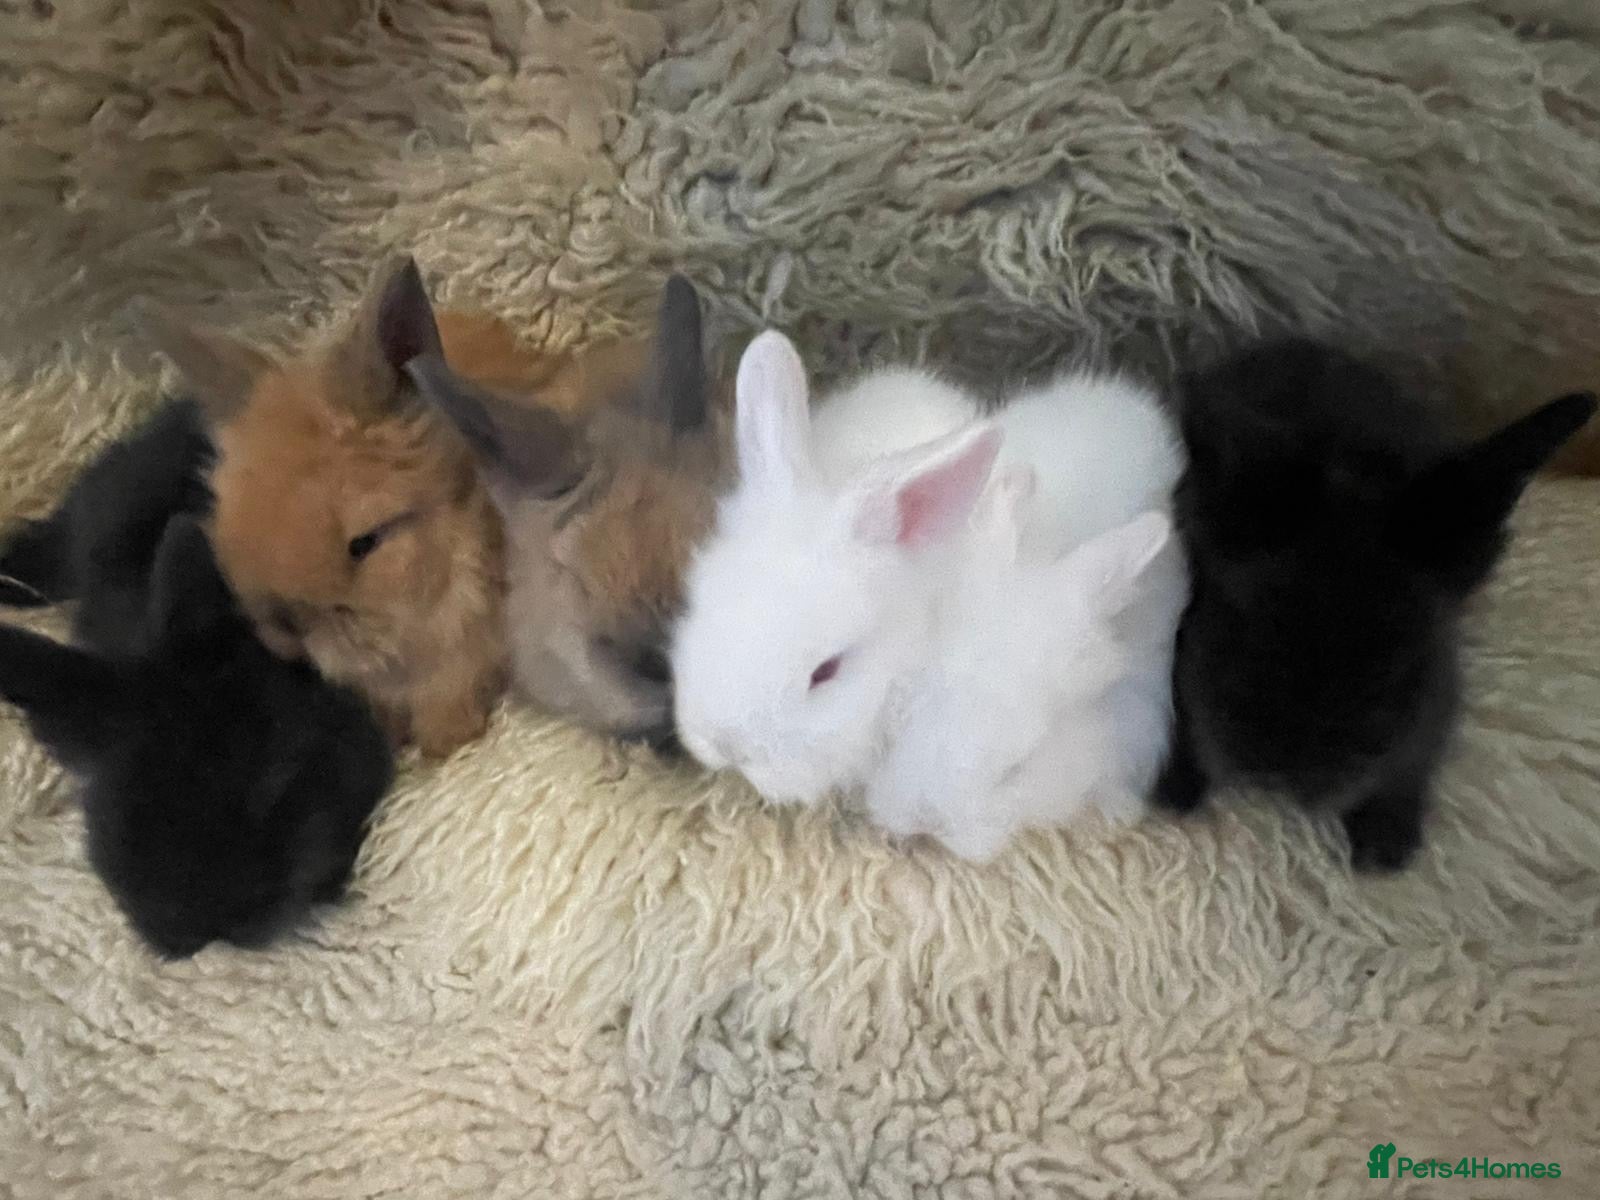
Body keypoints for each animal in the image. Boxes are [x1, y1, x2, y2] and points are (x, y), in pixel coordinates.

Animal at [1155, 338, 1597, 872]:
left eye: (1402, 659)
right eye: (1238, 620)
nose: (1283, 777)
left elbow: (1419, 751)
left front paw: (1385, 846)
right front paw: (1172, 790)